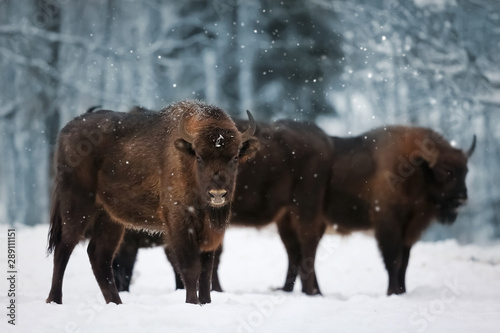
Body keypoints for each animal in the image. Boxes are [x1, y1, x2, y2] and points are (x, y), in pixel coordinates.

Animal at [45, 100, 258, 304]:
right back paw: (55, 300)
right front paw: (192, 303)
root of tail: (66, 131)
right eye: (199, 157)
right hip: (76, 206)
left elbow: (206, 272)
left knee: (99, 255)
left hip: (109, 219)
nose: (217, 194)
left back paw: (116, 303)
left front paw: (206, 303)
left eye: (235, 157)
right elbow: (191, 268)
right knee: (64, 247)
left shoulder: (210, 233)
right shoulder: (179, 223)